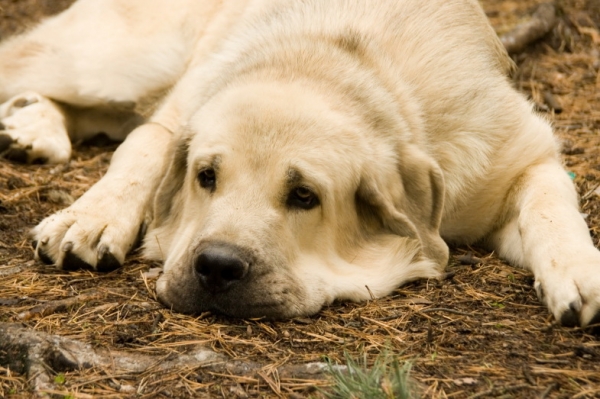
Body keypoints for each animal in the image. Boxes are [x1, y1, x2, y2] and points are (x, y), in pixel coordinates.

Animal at [2, 0, 596, 326]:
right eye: (206, 177)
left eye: (304, 196)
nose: (216, 267)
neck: (334, 62)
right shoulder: (178, 116)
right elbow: (143, 153)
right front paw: (92, 216)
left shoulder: (524, 158)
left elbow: (551, 207)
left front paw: (578, 271)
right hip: (116, 61)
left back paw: (34, 128)